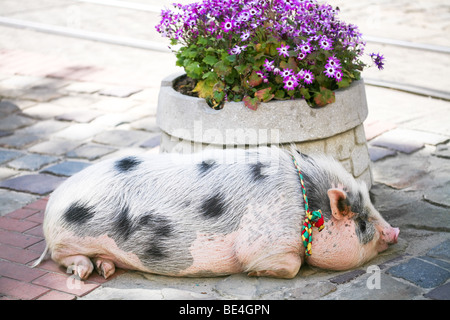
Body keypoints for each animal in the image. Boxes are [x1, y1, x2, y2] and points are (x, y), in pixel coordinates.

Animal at [33, 146, 398, 278]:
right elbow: (290, 267)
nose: (394, 232)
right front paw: (256, 274)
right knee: (62, 258)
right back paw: (85, 273)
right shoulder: (265, 242)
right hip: (67, 239)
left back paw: (107, 271)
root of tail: (53, 203)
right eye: (361, 221)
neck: (305, 206)